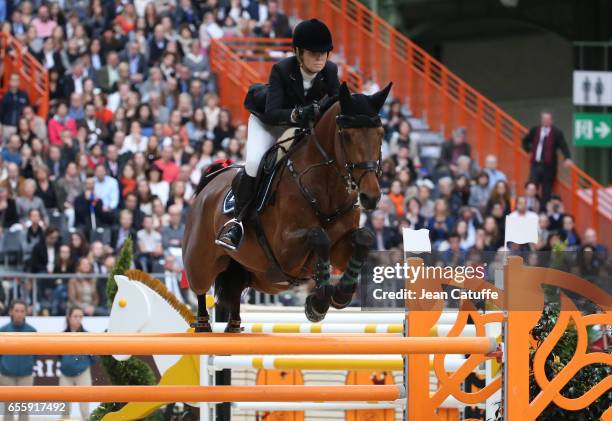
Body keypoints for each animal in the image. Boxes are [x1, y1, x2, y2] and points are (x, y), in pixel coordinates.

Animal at [182, 81, 392, 332]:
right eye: (347, 136)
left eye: (380, 134)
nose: (371, 196)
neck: (327, 188)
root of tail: (210, 183)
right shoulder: (284, 250)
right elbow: (319, 235)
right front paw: (318, 303)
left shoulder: (340, 248)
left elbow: (364, 238)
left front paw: (339, 295)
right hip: (202, 260)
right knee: (201, 289)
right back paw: (203, 325)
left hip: (254, 274)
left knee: (234, 293)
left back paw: (234, 326)